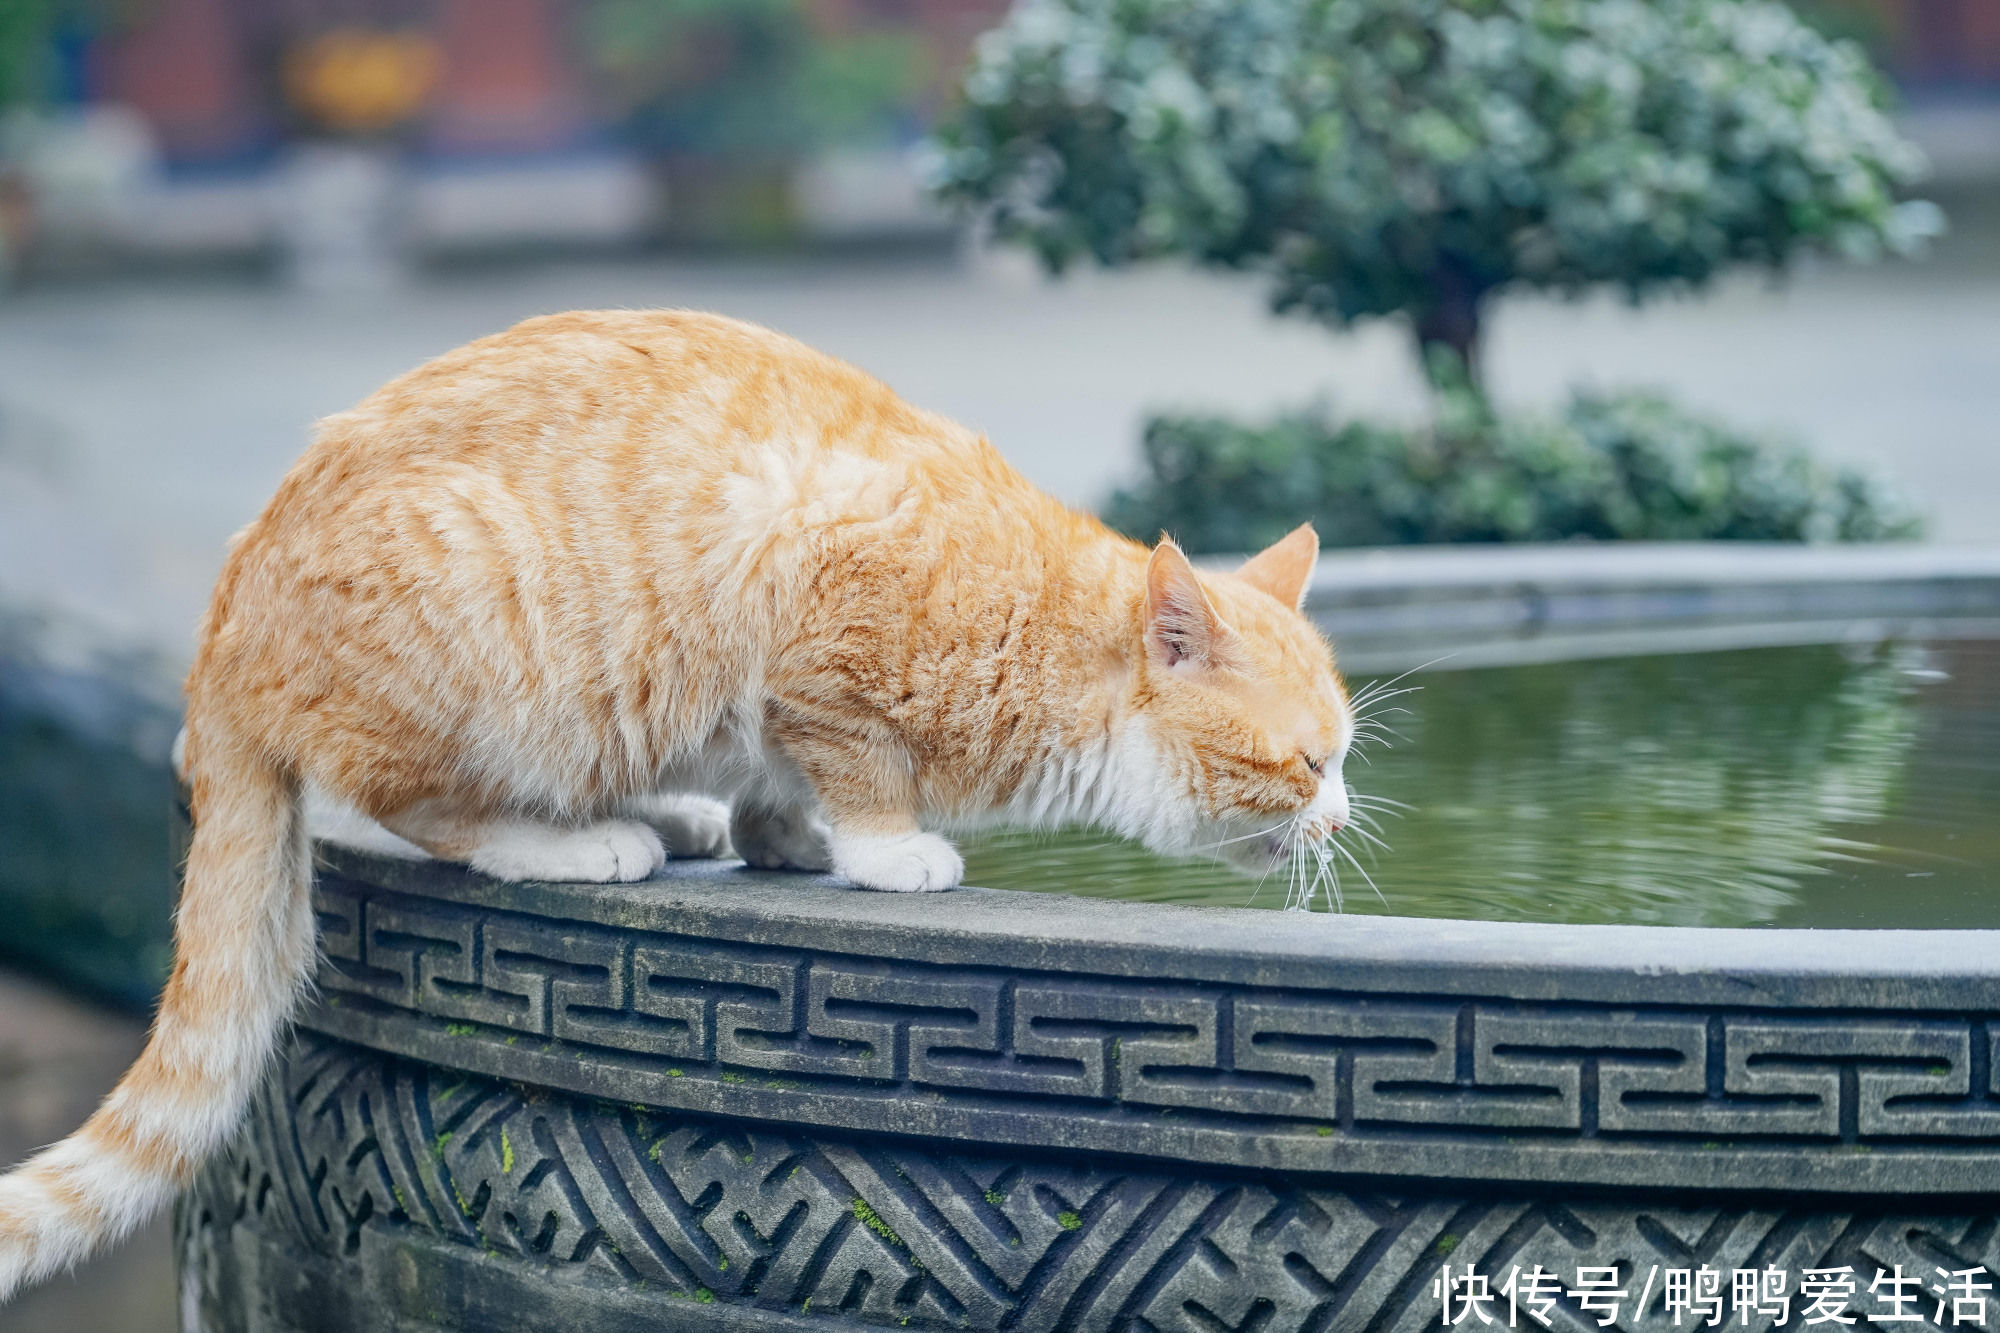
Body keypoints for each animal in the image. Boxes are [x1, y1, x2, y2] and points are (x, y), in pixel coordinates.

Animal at [0, 308, 1360, 1288]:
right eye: (1308, 763)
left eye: (1344, 757)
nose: (1344, 817)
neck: (1038, 626)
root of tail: (222, 617)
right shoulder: (818, 627)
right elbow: (862, 773)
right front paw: (886, 852)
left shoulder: (774, 712)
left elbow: (780, 788)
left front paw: (783, 838)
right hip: (487, 634)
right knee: (428, 809)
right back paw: (577, 842)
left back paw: (667, 816)